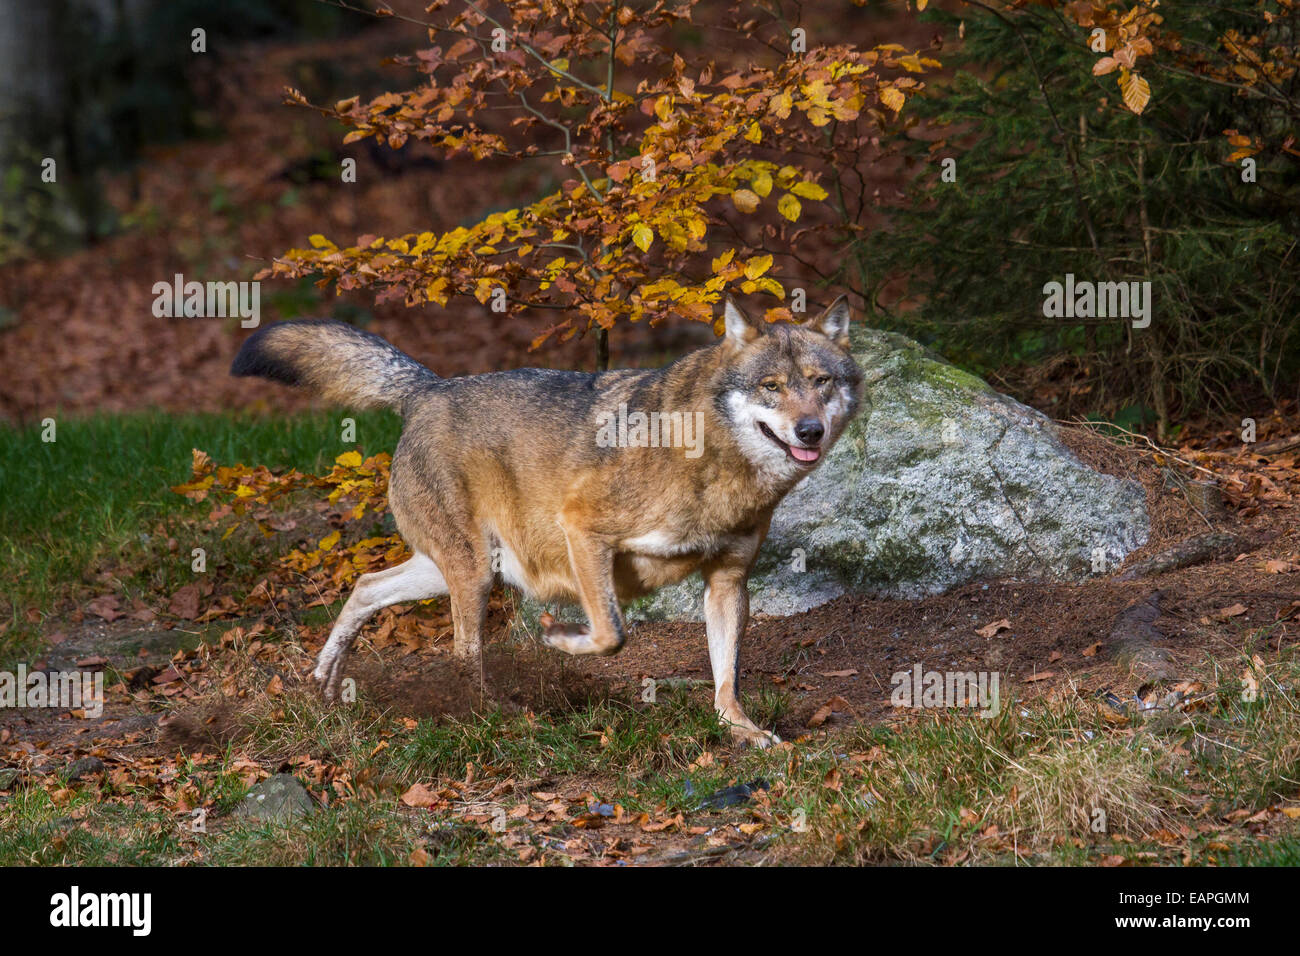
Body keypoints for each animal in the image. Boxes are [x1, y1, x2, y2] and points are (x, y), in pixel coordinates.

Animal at [233, 295, 863, 743]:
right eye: (771, 387)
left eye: (821, 382)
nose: (809, 431)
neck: (712, 464)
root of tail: (430, 388)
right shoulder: (583, 530)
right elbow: (611, 635)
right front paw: (560, 639)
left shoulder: (728, 581)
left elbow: (726, 678)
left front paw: (743, 732)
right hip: (473, 576)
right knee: (461, 653)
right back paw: (495, 715)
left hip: (463, 570)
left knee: (365, 585)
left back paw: (327, 679)